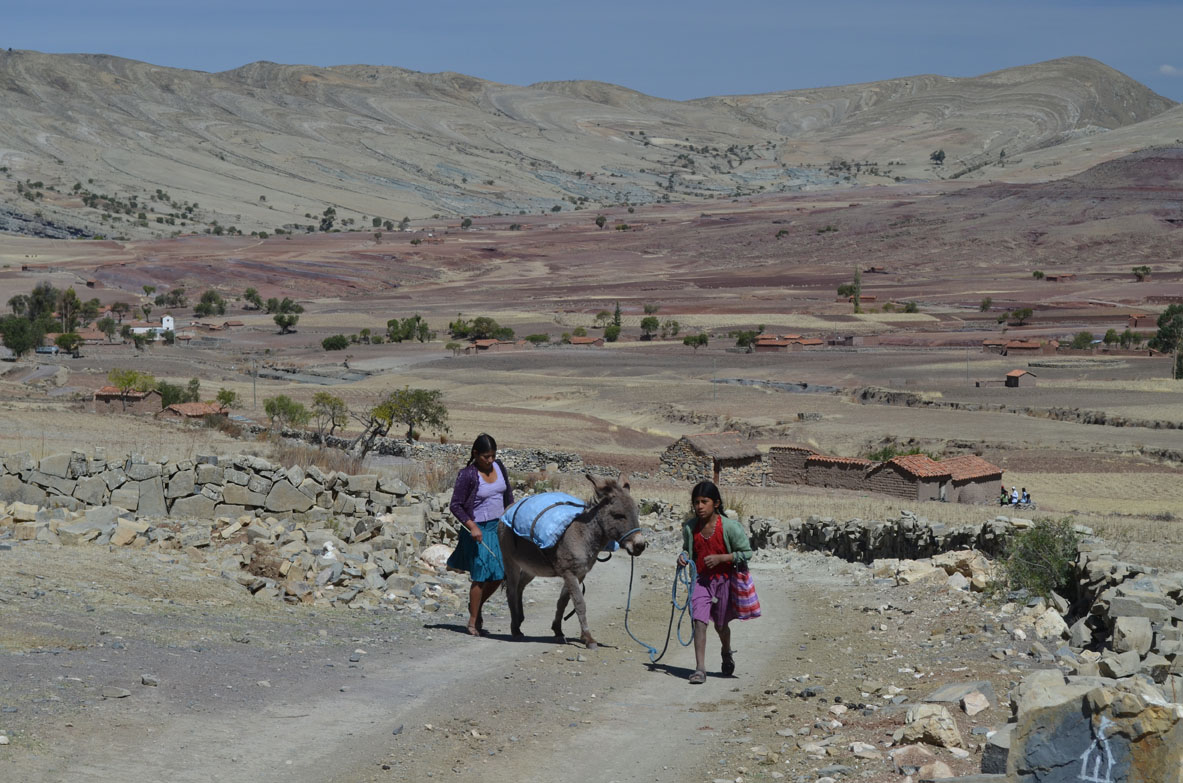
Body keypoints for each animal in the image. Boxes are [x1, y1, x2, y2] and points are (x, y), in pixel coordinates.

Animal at [498, 473, 646, 649]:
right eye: (618, 515)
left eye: (637, 513)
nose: (640, 545)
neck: (584, 535)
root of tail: (507, 509)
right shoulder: (569, 573)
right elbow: (579, 603)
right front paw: (588, 638)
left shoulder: (579, 574)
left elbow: (563, 601)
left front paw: (557, 630)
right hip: (510, 561)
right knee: (511, 590)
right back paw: (515, 629)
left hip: (531, 567)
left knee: (520, 586)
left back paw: (519, 620)